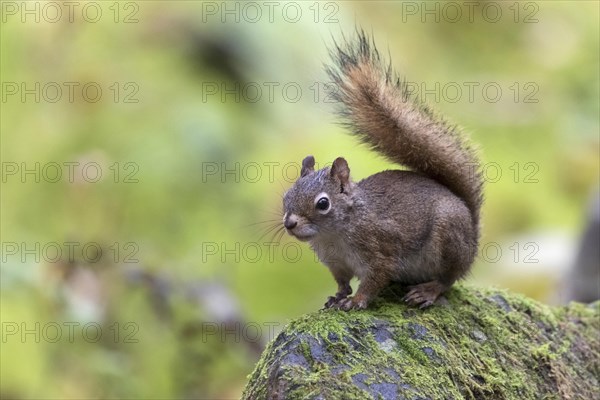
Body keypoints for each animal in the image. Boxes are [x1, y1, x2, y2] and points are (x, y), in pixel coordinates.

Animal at [284, 32, 486, 310]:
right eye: (286, 196)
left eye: (323, 203)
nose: (289, 223)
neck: (333, 235)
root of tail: (473, 239)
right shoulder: (335, 263)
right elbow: (342, 282)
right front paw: (338, 296)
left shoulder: (380, 250)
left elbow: (375, 279)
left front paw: (356, 300)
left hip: (448, 240)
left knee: (448, 279)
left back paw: (427, 291)